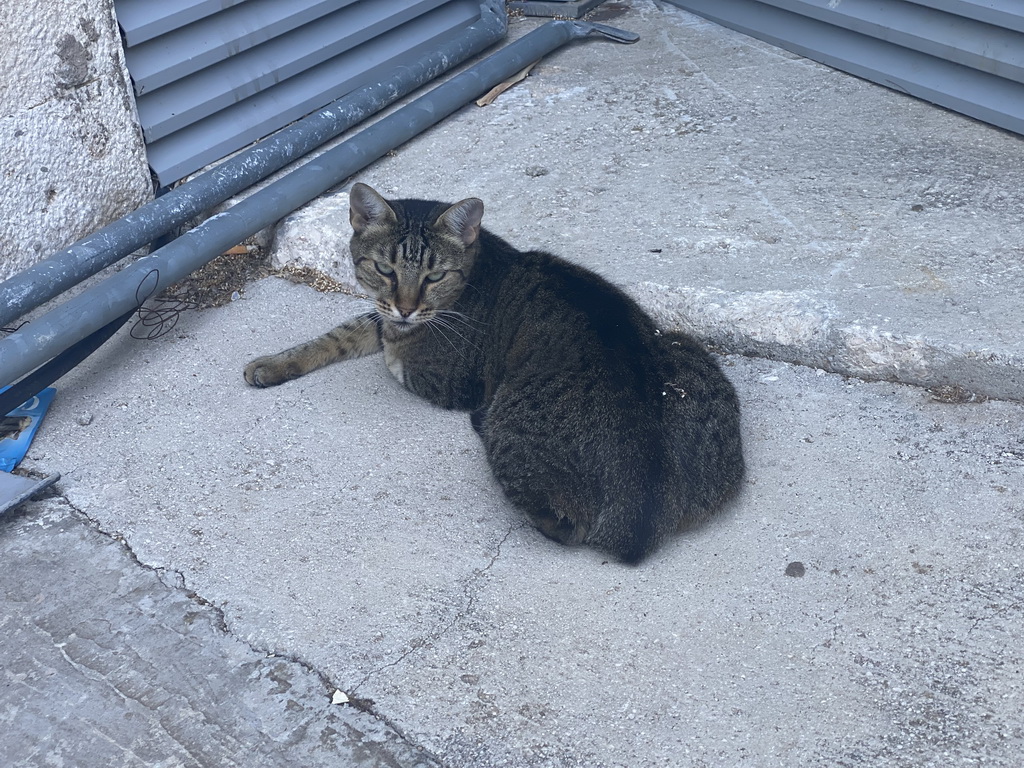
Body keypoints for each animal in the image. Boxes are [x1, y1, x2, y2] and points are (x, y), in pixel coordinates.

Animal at [247, 183, 745, 561]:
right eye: (385, 269)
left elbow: (387, 350)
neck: (479, 262)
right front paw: (273, 363)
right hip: (687, 350)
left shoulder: (440, 378)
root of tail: (640, 517)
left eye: (434, 276)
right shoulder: (384, 316)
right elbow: (346, 331)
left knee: (563, 525)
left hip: (512, 432)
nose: (406, 307)